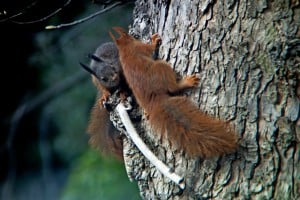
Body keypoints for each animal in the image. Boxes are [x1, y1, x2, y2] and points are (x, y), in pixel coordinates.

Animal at [109, 26, 238, 158]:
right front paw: (154, 41)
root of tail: (156, 99)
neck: (124, 48)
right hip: (162, 67)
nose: (134, 35)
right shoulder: (141, 47)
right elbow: (150, 48)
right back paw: (187, 82)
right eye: (130, 35)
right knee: (173, 88)